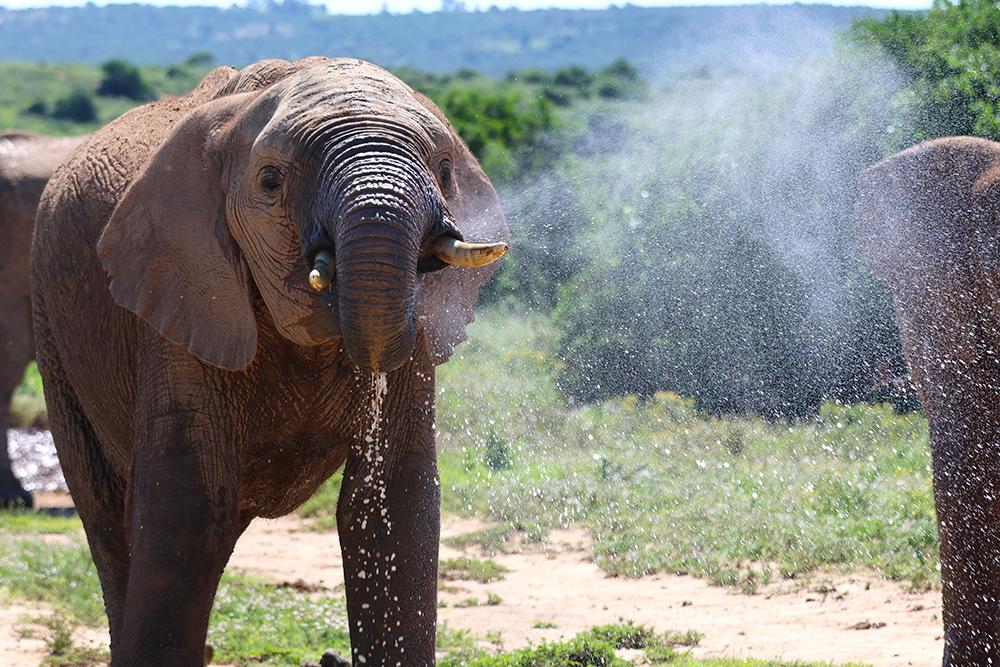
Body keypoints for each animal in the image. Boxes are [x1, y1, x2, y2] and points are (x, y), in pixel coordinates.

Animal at [32, 57, 508, 666]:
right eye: (271, 182)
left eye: (445, 169)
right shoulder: (181, 291)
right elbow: (188, 502)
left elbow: (391, 499)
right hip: (52, 328)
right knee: (107, 514)